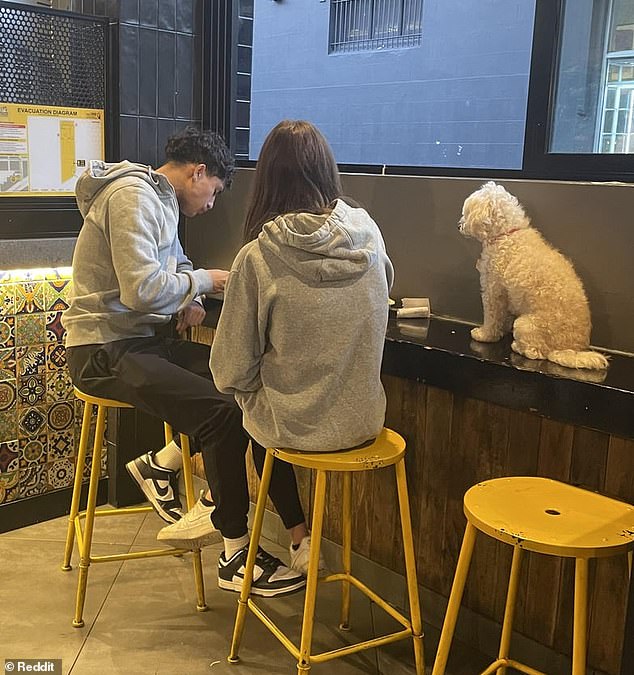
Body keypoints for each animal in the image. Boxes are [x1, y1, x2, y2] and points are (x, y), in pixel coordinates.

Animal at [460, 181, 608, 370]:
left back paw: (517, 346)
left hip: (524, 325)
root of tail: (568, 349)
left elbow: (492, 317)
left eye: (467, 212)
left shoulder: (493, 291)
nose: (459, 225)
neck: (508, 234)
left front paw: (484, 334)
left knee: (536, 353)